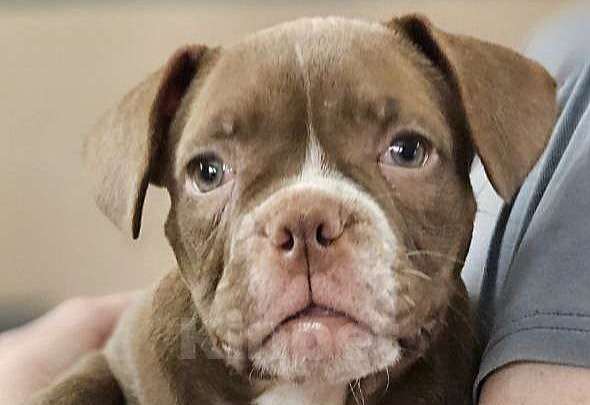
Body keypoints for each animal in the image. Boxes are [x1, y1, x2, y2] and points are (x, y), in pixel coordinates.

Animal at [28, 14, 556, 405]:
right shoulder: (116, 355)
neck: (307, 388)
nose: (305, 221)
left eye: (407, 151)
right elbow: (75, 387)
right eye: (207, 172)